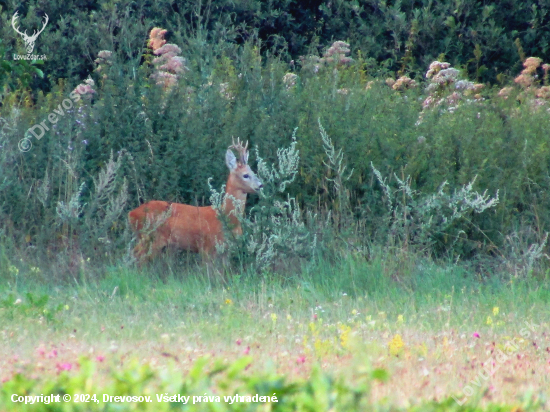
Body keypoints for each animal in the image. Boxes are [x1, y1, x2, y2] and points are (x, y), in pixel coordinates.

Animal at [128, 139, 264, 264]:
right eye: (245, 175)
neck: (226, 217)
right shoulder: (207, 246)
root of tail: (131, 214)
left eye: (253, 171)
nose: (261, 185)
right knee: (137, 257)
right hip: (150, 237)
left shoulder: (227, 249)